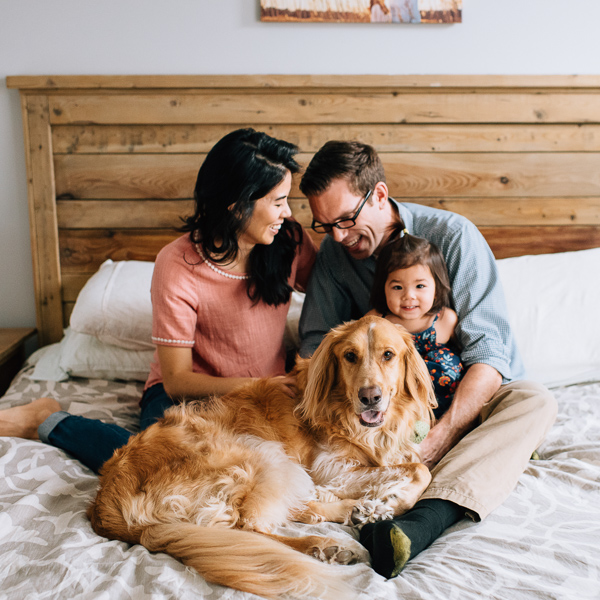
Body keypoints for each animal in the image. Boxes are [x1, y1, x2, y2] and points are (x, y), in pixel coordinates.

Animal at [88, 316, 436, 596]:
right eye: (350, 356)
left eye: (388, 355)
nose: (370, 397)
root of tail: (105, 501)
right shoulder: (329, 466)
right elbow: (421, 470)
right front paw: (393, 499)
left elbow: (413, 465)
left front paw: (380, 500)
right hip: (261, 455)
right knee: (248, 529)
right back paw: (326, 544)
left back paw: (354, 512)